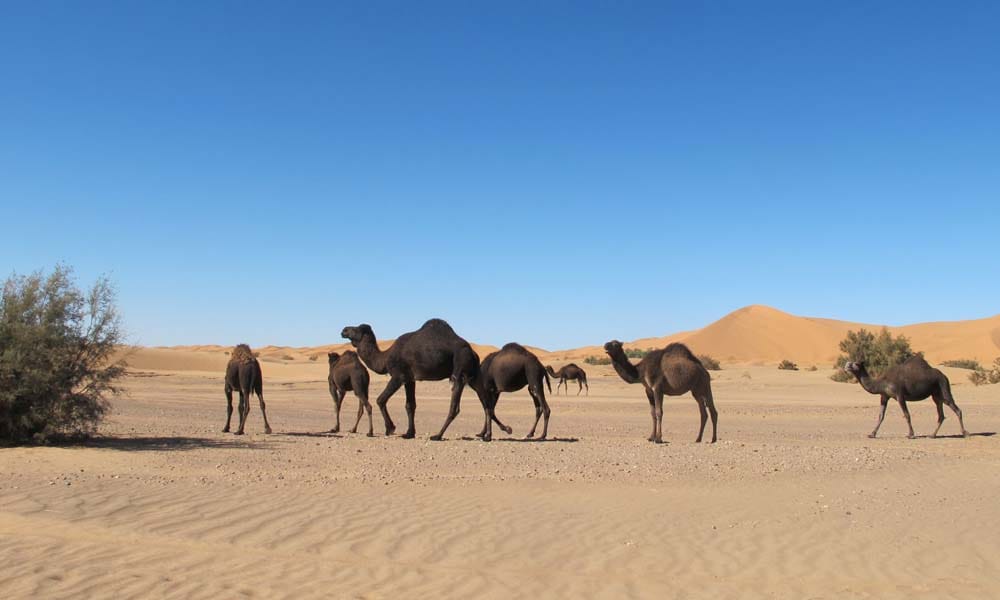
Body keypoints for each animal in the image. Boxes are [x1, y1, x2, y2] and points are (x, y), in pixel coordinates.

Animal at [342, 318, 508, 440]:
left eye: (356, 329)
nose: (344, 330)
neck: (385, 356)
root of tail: (473, 353)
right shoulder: (410, 379)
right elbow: (410, 405)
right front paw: (409, 433)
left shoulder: (398, 375)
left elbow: (381, 399)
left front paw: (390, 428)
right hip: (473, 375)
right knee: (486, 404)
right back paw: (488, 435)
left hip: (460, 369)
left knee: (455, 406)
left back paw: (438, 435)